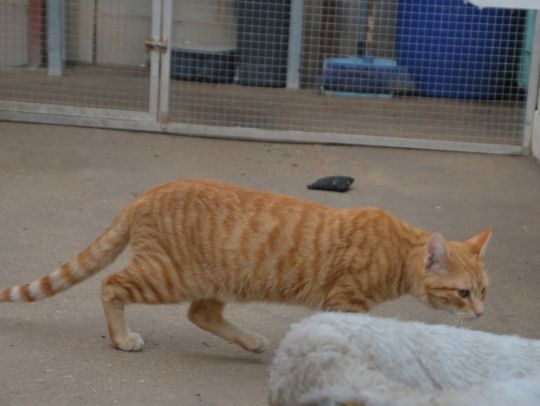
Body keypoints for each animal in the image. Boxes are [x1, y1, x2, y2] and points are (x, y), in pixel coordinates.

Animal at [0, 179, 491, 353]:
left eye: (484, 291)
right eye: (463, 293)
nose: (481, 314)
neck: (397, 250)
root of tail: (151, 191)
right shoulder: (346, 300)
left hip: (214, 281)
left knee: (201, 314)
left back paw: (252, 342)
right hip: (168, 277)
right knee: (110, 284)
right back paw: (122, 338)